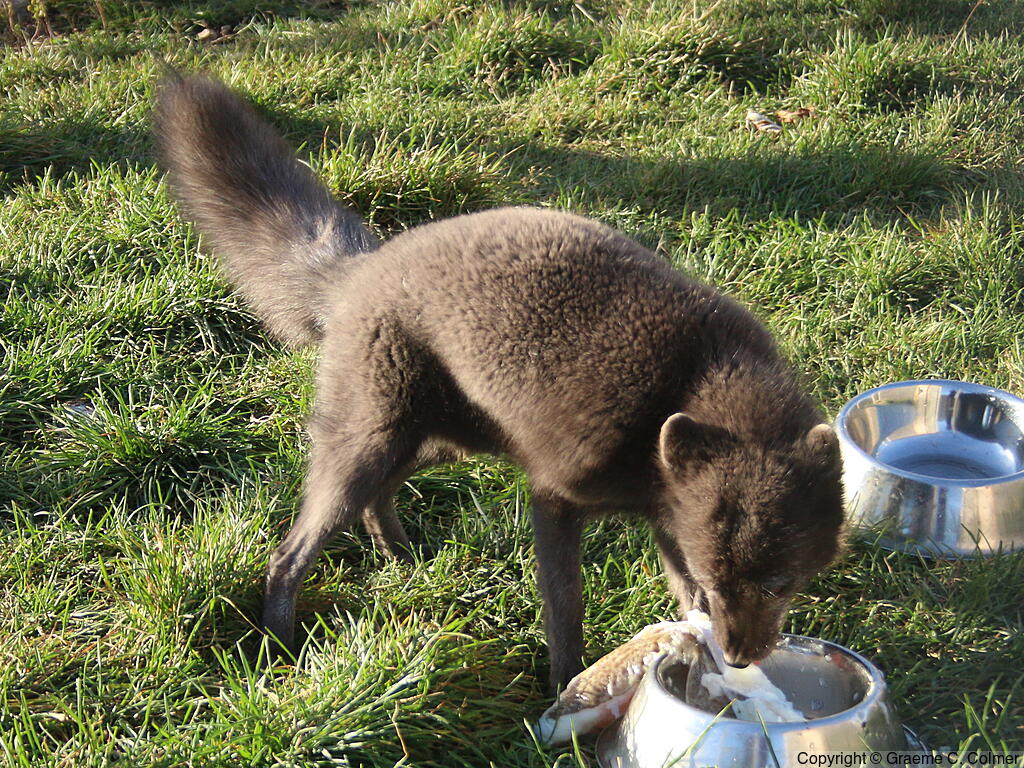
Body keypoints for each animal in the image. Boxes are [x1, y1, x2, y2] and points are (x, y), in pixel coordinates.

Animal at [154, 74, 845, 691]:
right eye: (723, 579)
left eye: (780, 584)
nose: (739, 658)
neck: (688, 381)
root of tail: (360, 265)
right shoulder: (557, 499)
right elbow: (566, 607)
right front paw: (564, 687)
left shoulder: (668, 516)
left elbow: (677, 594)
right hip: (370, 442)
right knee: (291, 551)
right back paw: (279, 641)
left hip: (441, 439)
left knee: (381, 497)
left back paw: (404, 565)